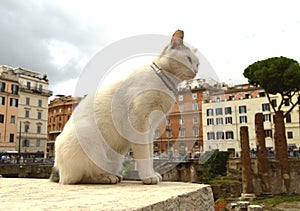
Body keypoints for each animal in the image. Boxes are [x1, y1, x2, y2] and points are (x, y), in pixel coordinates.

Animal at [49, 29, 199, 185]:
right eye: (188, 59)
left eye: (197, 64)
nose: (195, 71)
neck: (167, 82)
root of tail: (56, 167)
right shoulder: (139, 121)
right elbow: (144, 155)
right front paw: (148, 177)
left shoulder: (151, 128)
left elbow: (150, 153)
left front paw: (153, 174)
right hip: (89, 139)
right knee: (77, 177)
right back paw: (107, 177)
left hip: (116, 156)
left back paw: (115, 175)